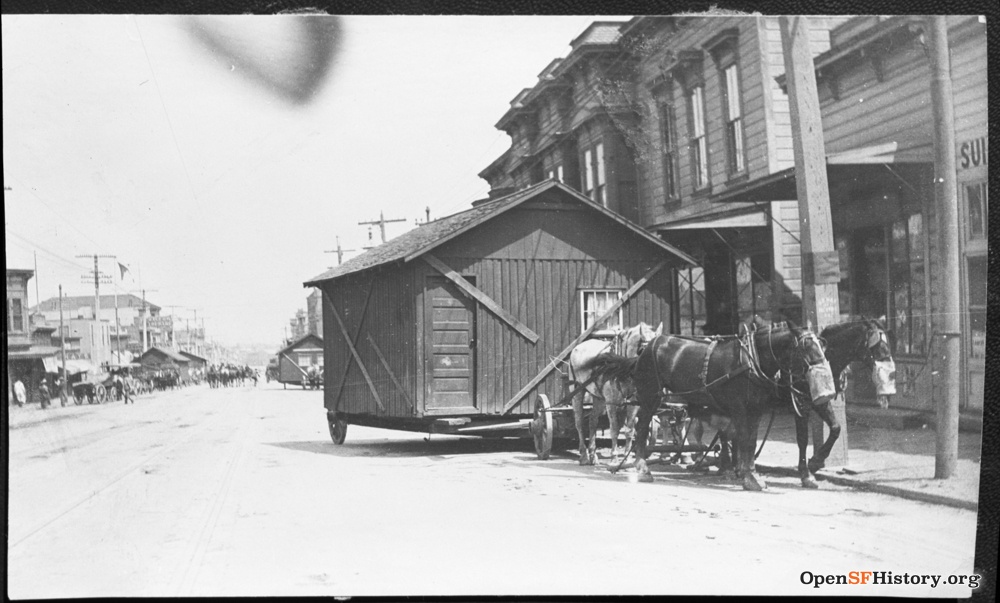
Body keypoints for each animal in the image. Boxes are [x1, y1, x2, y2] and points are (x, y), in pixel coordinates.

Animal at [572, 324, 664, 464]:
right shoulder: (611, 403)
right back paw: (584, 455)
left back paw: (593, 455)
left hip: (599, 398)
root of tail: (577, 347)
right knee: (579, 423)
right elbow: (614, 428)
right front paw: (614, 457)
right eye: (646, 352)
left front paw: (626, 458)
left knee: (593, 420)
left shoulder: (633, 404)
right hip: (578, 391)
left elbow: (630, 430)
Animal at [588, 326, 832, 490]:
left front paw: (750, 474)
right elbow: (744, 441)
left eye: (822, 345)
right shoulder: (740, 409)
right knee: (640, 429)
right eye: (805, 347)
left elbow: (750, 442)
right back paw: (641, 467)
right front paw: (748, 477)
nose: (826, 388)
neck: (751, 361)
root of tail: (644, 352)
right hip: (649, 398)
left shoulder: (755, 410)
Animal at [784, 318, 896, 488]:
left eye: (888, 343)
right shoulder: (800, 405)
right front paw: (805, 472)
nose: (890, 374)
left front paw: (816, 462)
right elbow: (802, 440)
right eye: (875, 345)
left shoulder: (821, 402)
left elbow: (836, 428)